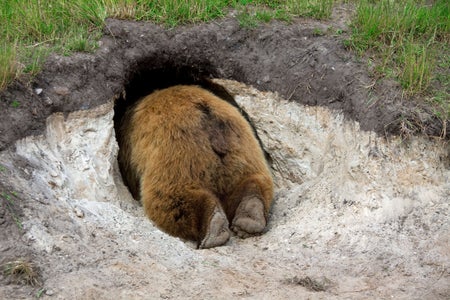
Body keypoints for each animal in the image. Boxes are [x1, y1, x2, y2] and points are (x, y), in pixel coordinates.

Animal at [118, 84, 272, 248]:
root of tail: (211, 123)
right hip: (243, 152)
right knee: (252, 180)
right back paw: (249, 217)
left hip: (178, 153)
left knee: (171, 198)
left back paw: (214, 229)